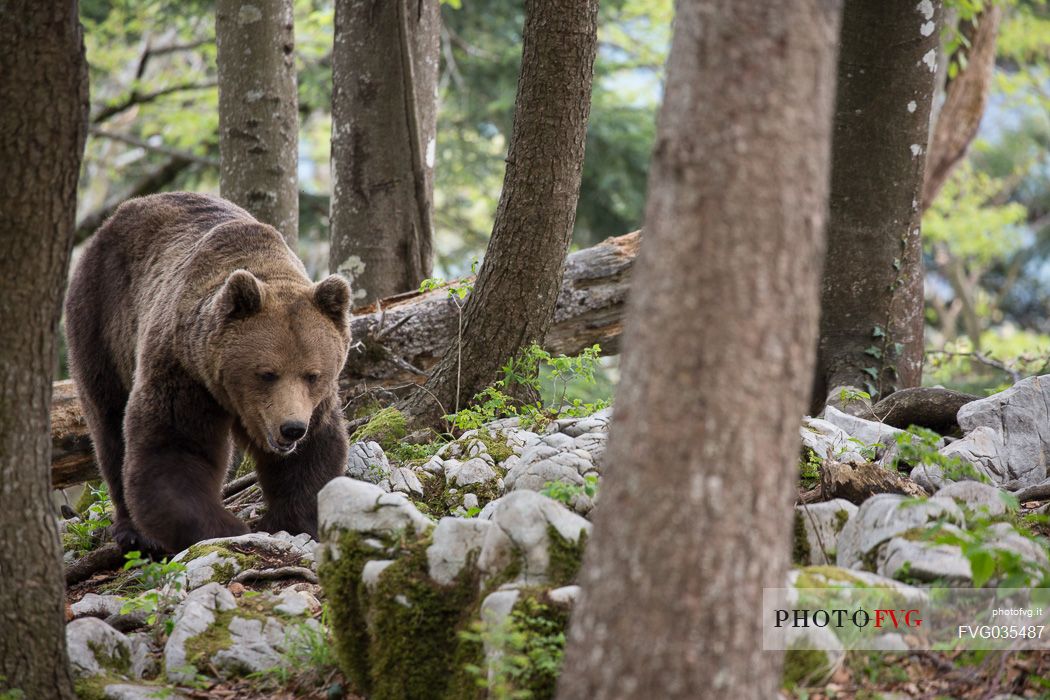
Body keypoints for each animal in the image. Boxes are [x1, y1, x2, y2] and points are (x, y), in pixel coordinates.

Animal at [65, 194, 352, 554]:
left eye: (312, 375)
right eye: (267, 373)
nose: (291, 429)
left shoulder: (314, 404)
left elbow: (314, 453)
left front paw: (293, 519)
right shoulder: (183, 371)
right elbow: (174, 448)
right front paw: (226, 528)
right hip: (101, 323)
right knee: (109, 425)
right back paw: (133, 532)